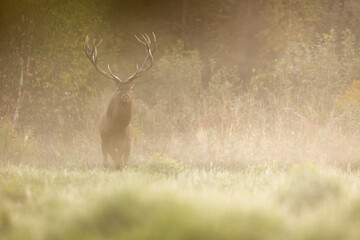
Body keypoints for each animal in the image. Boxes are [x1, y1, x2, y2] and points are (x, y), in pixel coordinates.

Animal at [84, 32, 158, 170]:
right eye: (118, 88)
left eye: (131, 88)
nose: (125, 97)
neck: (116, 128)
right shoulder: (104, 139)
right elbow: (110, 159)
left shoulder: (125, 141)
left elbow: (120, 160)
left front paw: (119, 165)